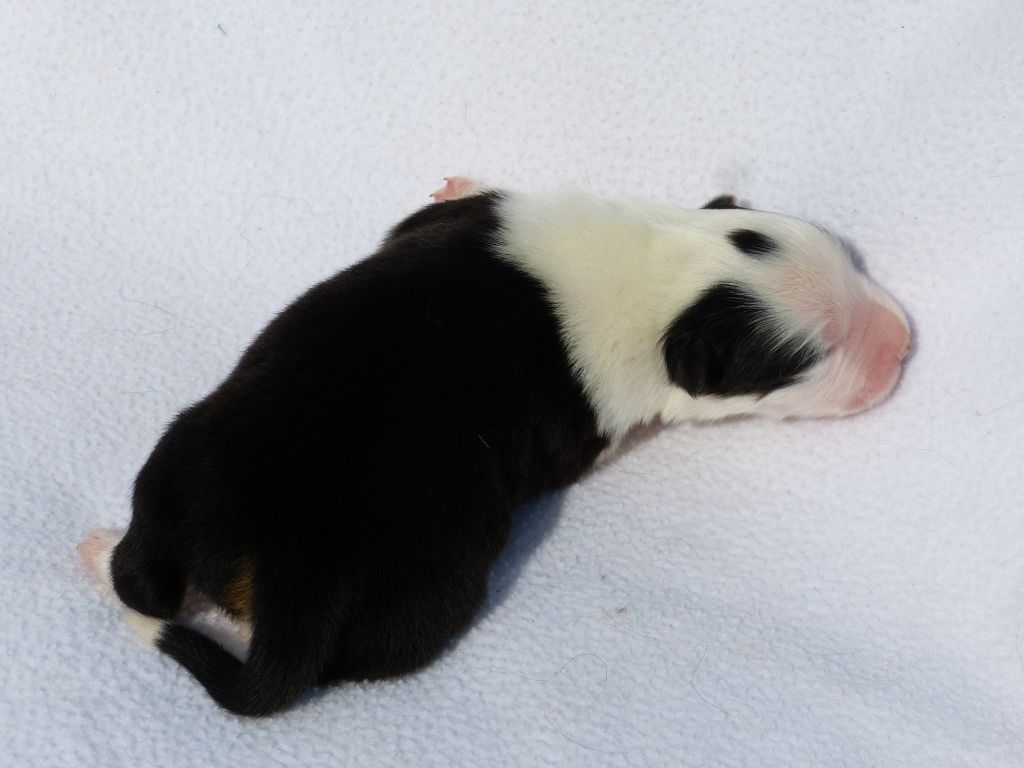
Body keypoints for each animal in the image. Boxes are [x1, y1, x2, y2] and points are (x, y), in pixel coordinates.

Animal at [79, 178, 911, 716]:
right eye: (815, 358)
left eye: (851, 260)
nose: (903, 344)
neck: (666, 277)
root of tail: (284, 580)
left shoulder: (455, 222)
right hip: (430, 596)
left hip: (179, 460)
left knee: (141, 574)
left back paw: (99, 553)